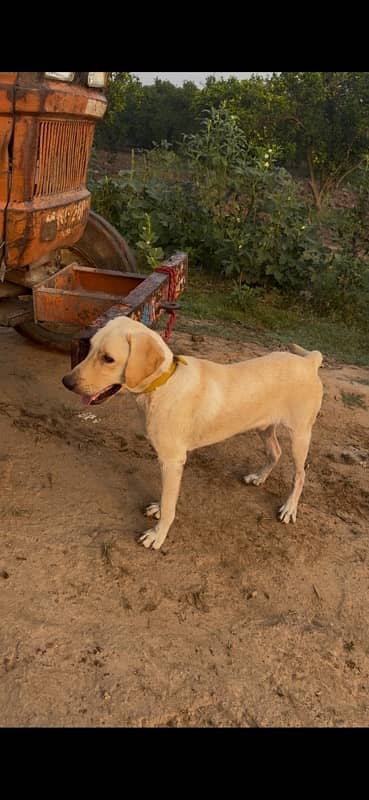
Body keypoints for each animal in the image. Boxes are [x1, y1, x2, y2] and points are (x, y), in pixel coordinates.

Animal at [63, 318, 322, 552]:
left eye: (108, 358)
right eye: (90, 348)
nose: (66, 382)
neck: (162, 385)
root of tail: (309, 361)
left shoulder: (172, 460)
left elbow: (170, 503)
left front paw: (157, 535)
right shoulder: (170, 463)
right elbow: (167, 496)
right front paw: (157, 509)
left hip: (300, 436)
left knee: (300, 474)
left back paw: (289, 508)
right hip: (263, 427)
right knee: (275, 452)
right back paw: (259, 477)